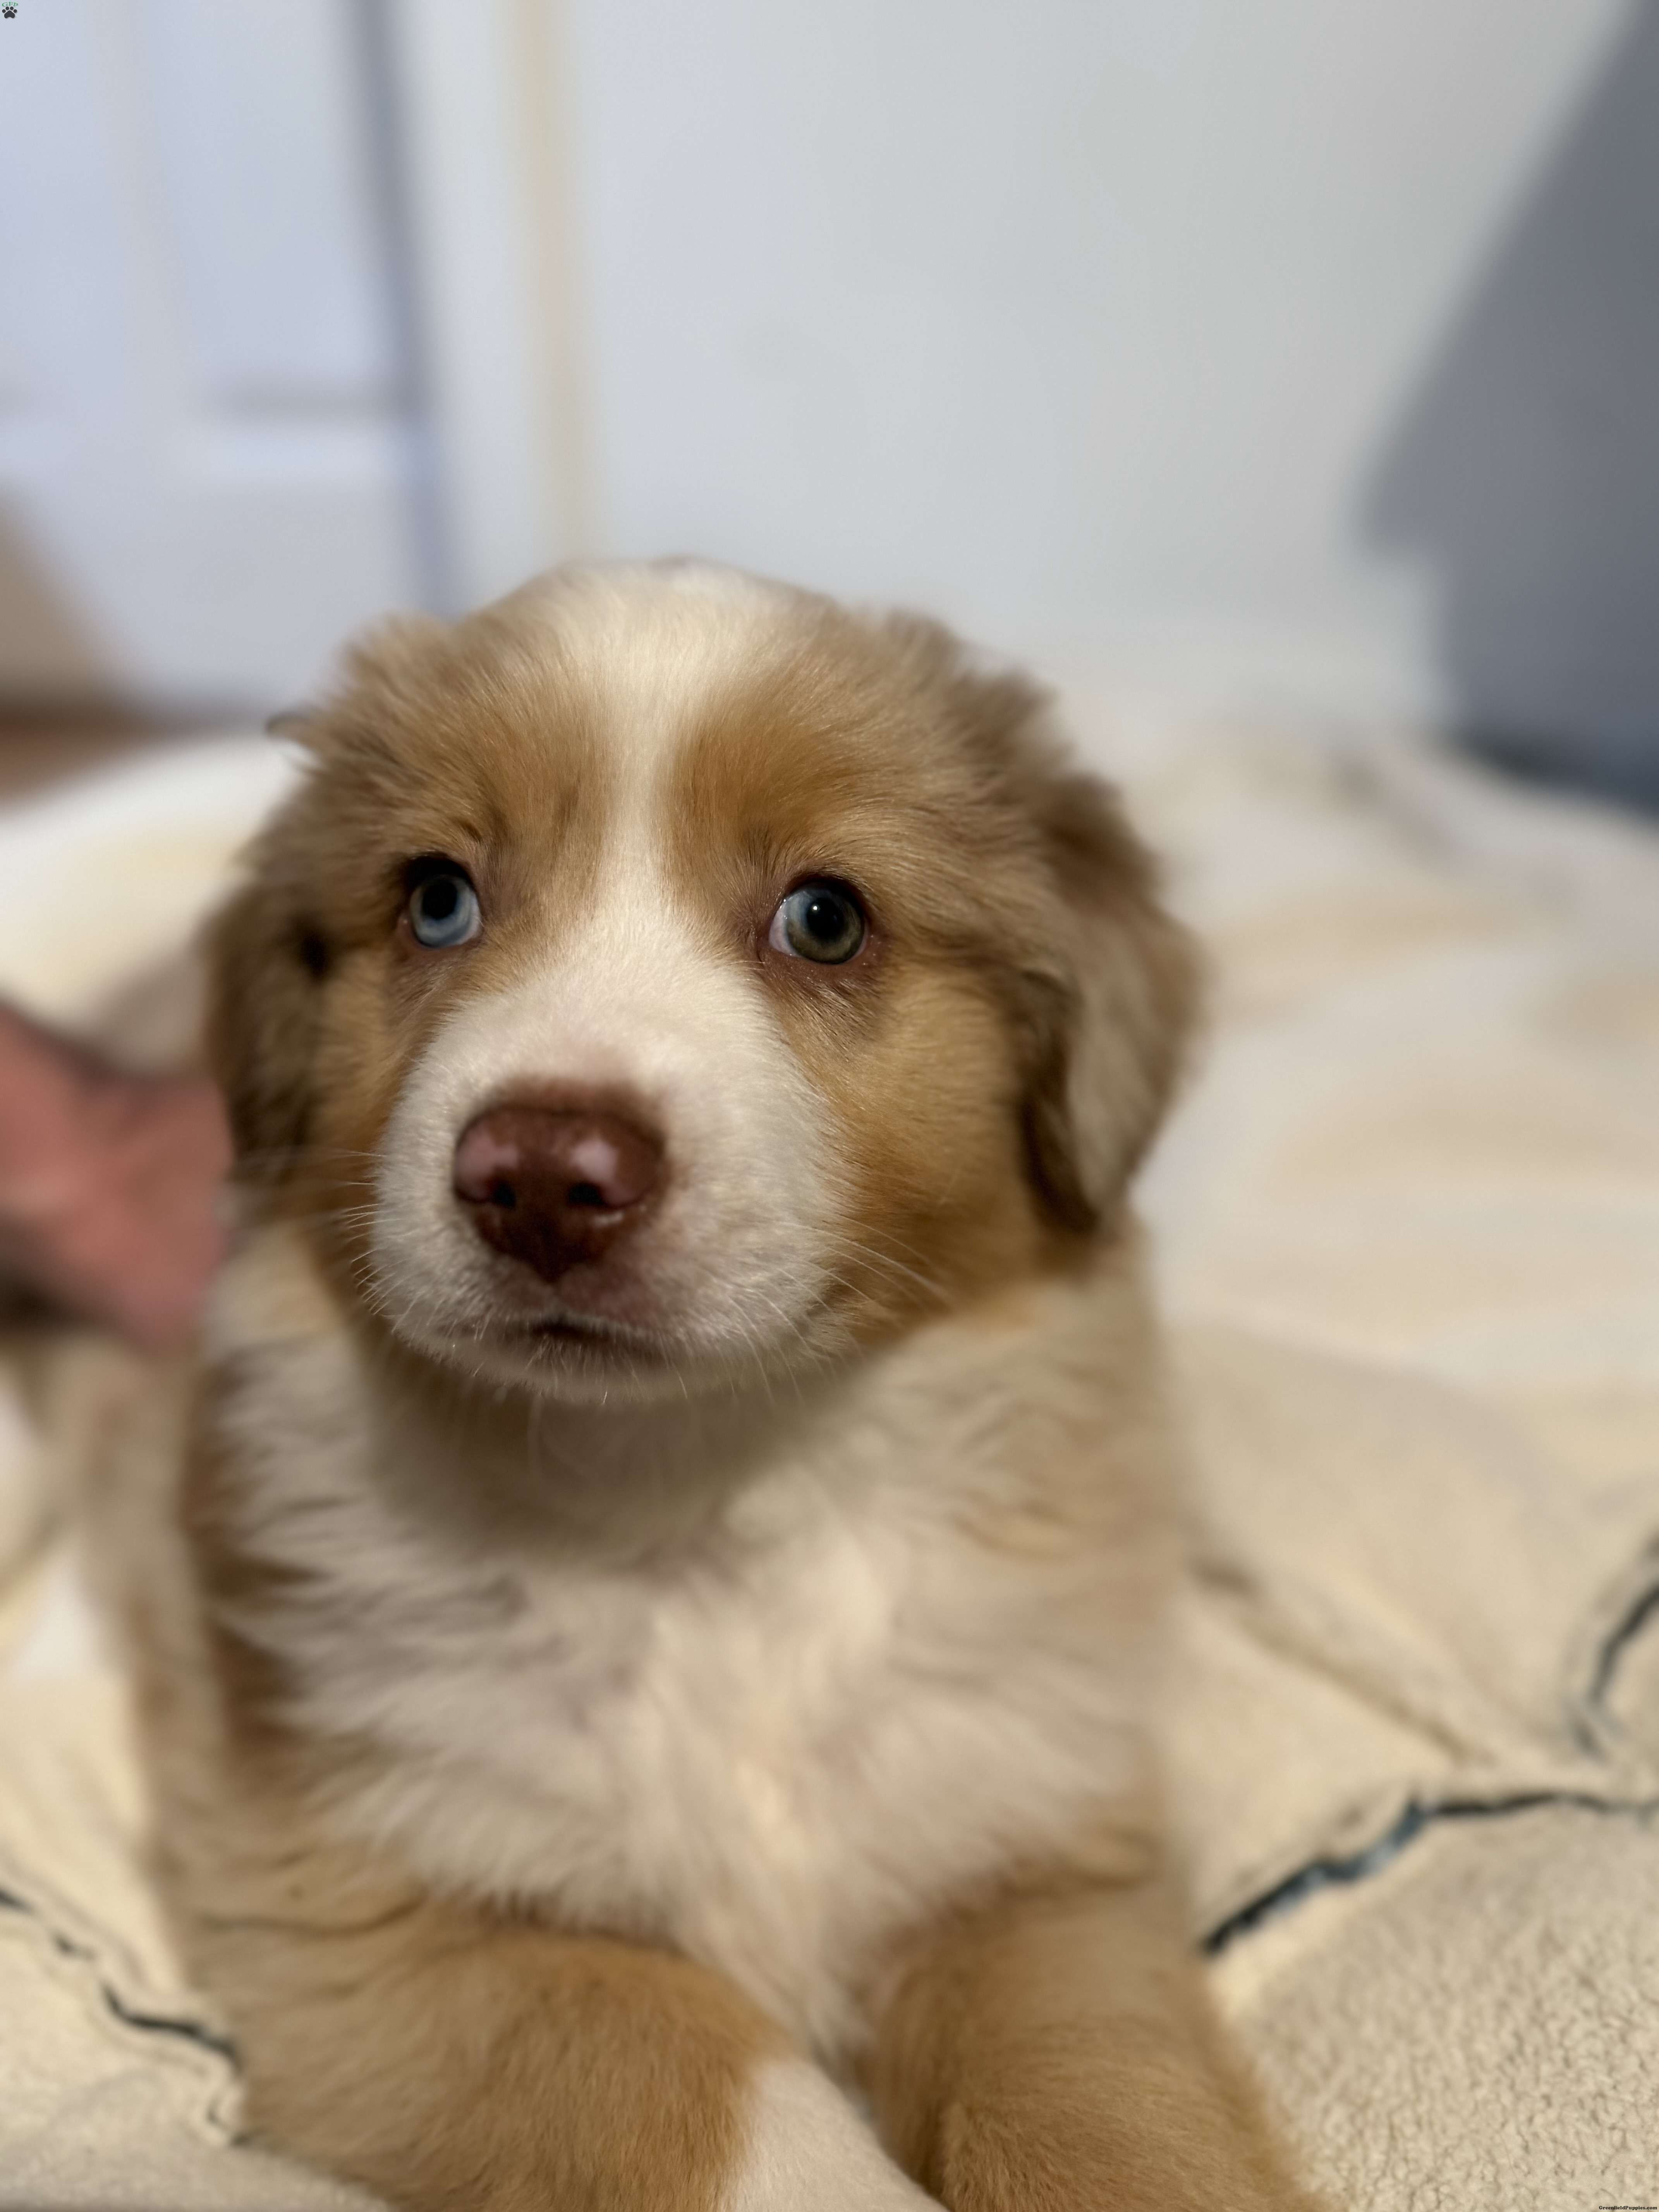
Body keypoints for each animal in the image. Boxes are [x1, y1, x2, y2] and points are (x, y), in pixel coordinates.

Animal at [97, 562, 1326, 2210]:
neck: (700, 1498)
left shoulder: (1025, 1849)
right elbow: (707, 2084)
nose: (542, 1177)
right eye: (437, 898)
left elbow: (1109, 2112)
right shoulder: (376, 1911)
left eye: (824, 918)